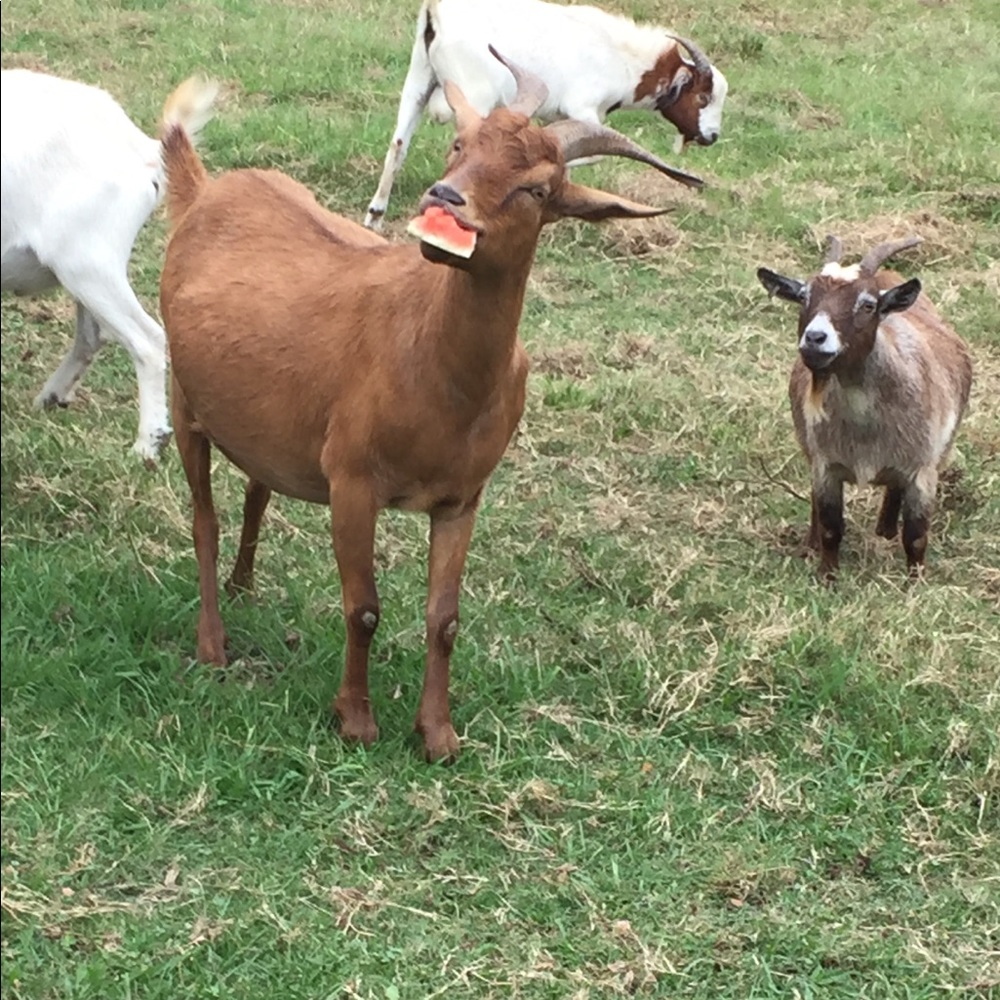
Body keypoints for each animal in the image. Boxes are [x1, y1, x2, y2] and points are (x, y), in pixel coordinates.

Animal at [1, 69, 215, 461]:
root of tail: (144, 150)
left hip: (86, 262)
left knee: (146, 338)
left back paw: (147, 445)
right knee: (92, 335)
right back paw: (50, 397)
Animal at [159, 58, 695, 761]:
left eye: (538, 189)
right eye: (459, 147)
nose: (444, 199)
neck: (437, 372)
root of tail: (203, 193)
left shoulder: (461, 497)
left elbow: (445, 619)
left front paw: (438, 733)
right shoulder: (353, 479)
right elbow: (363, 607)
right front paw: (356, 720)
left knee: (257, 489)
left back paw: (244, 587)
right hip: (183, 398)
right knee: (205, 521)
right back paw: (212, 643)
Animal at [363, 0, 726, 229]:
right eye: (703, 96)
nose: (712, 137)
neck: (621, 58)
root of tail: (436, 13)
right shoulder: (583, 107)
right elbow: (593, 156)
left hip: (418, 78)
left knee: (398, 144)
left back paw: (375, 215)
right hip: (474, 93)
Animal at [757, 237, 973, 579]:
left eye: (868, 304)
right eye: (804, 297)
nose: (815, 338)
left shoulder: (923, 469)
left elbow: (916, 535)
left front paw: (915, 582)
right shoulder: (826, 465)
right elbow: (831, 526)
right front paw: (827, 576)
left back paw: (885, 530)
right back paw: (811, 544)